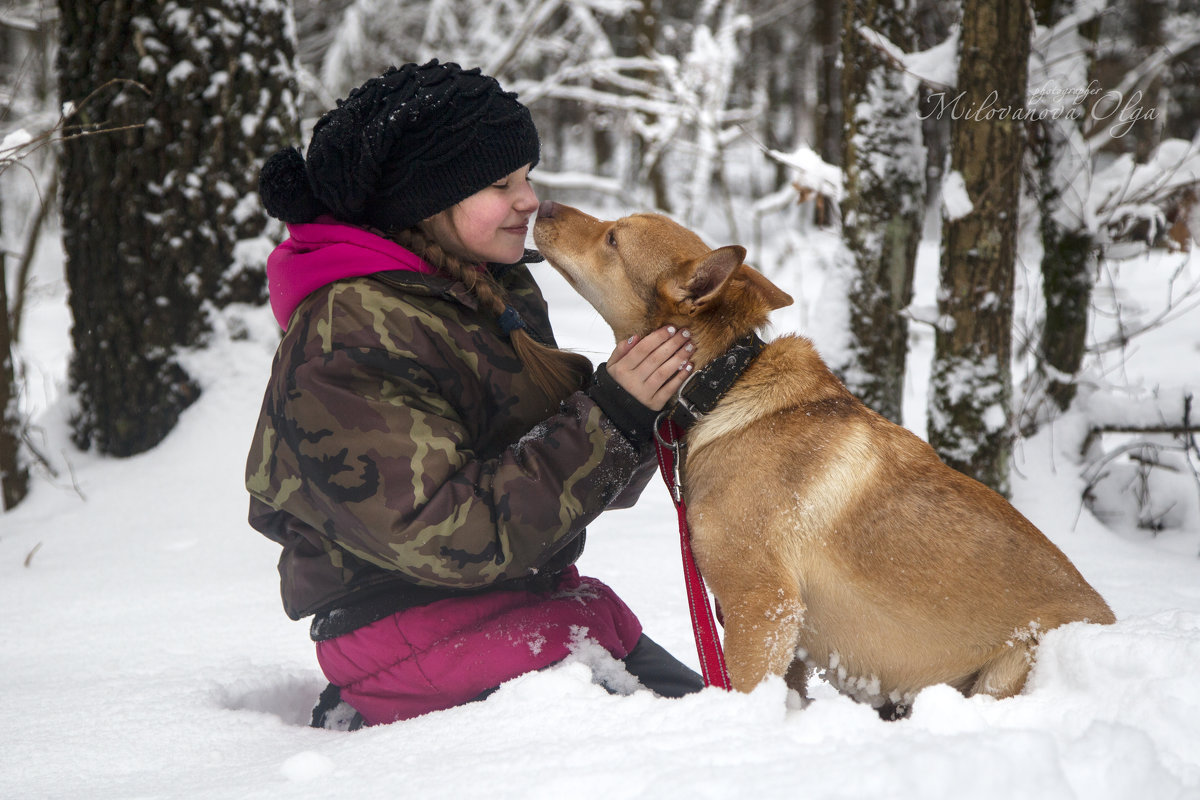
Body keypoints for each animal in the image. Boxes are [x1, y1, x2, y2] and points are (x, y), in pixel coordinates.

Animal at [535, 203, 1113, 714]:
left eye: (613, 237)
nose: (543, 204)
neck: (718, 388)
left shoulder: (762, 604)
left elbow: (745, 692)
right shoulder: (783, 634)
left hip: (1009, 668)